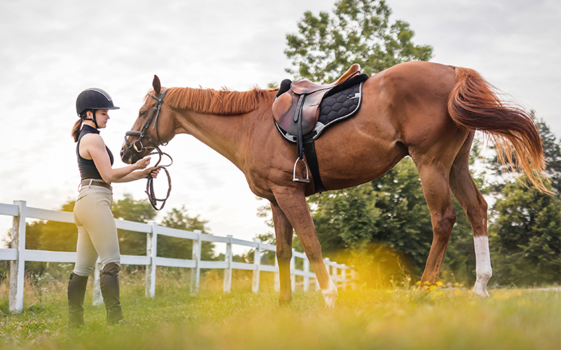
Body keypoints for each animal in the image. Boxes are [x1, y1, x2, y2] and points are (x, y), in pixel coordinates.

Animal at [120, 60, 544, 306]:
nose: (125, 150)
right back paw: (480, 286)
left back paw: (425, 289)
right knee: (477, 211)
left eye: (143, 111)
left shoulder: (290, 193)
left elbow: (310, 244)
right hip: (455, 165)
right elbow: (284, 252)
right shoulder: (276, 200)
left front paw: (328, 297)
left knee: (443, 219)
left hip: (431, 163)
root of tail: (452, 71)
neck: (252, 125)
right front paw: (285, 306)